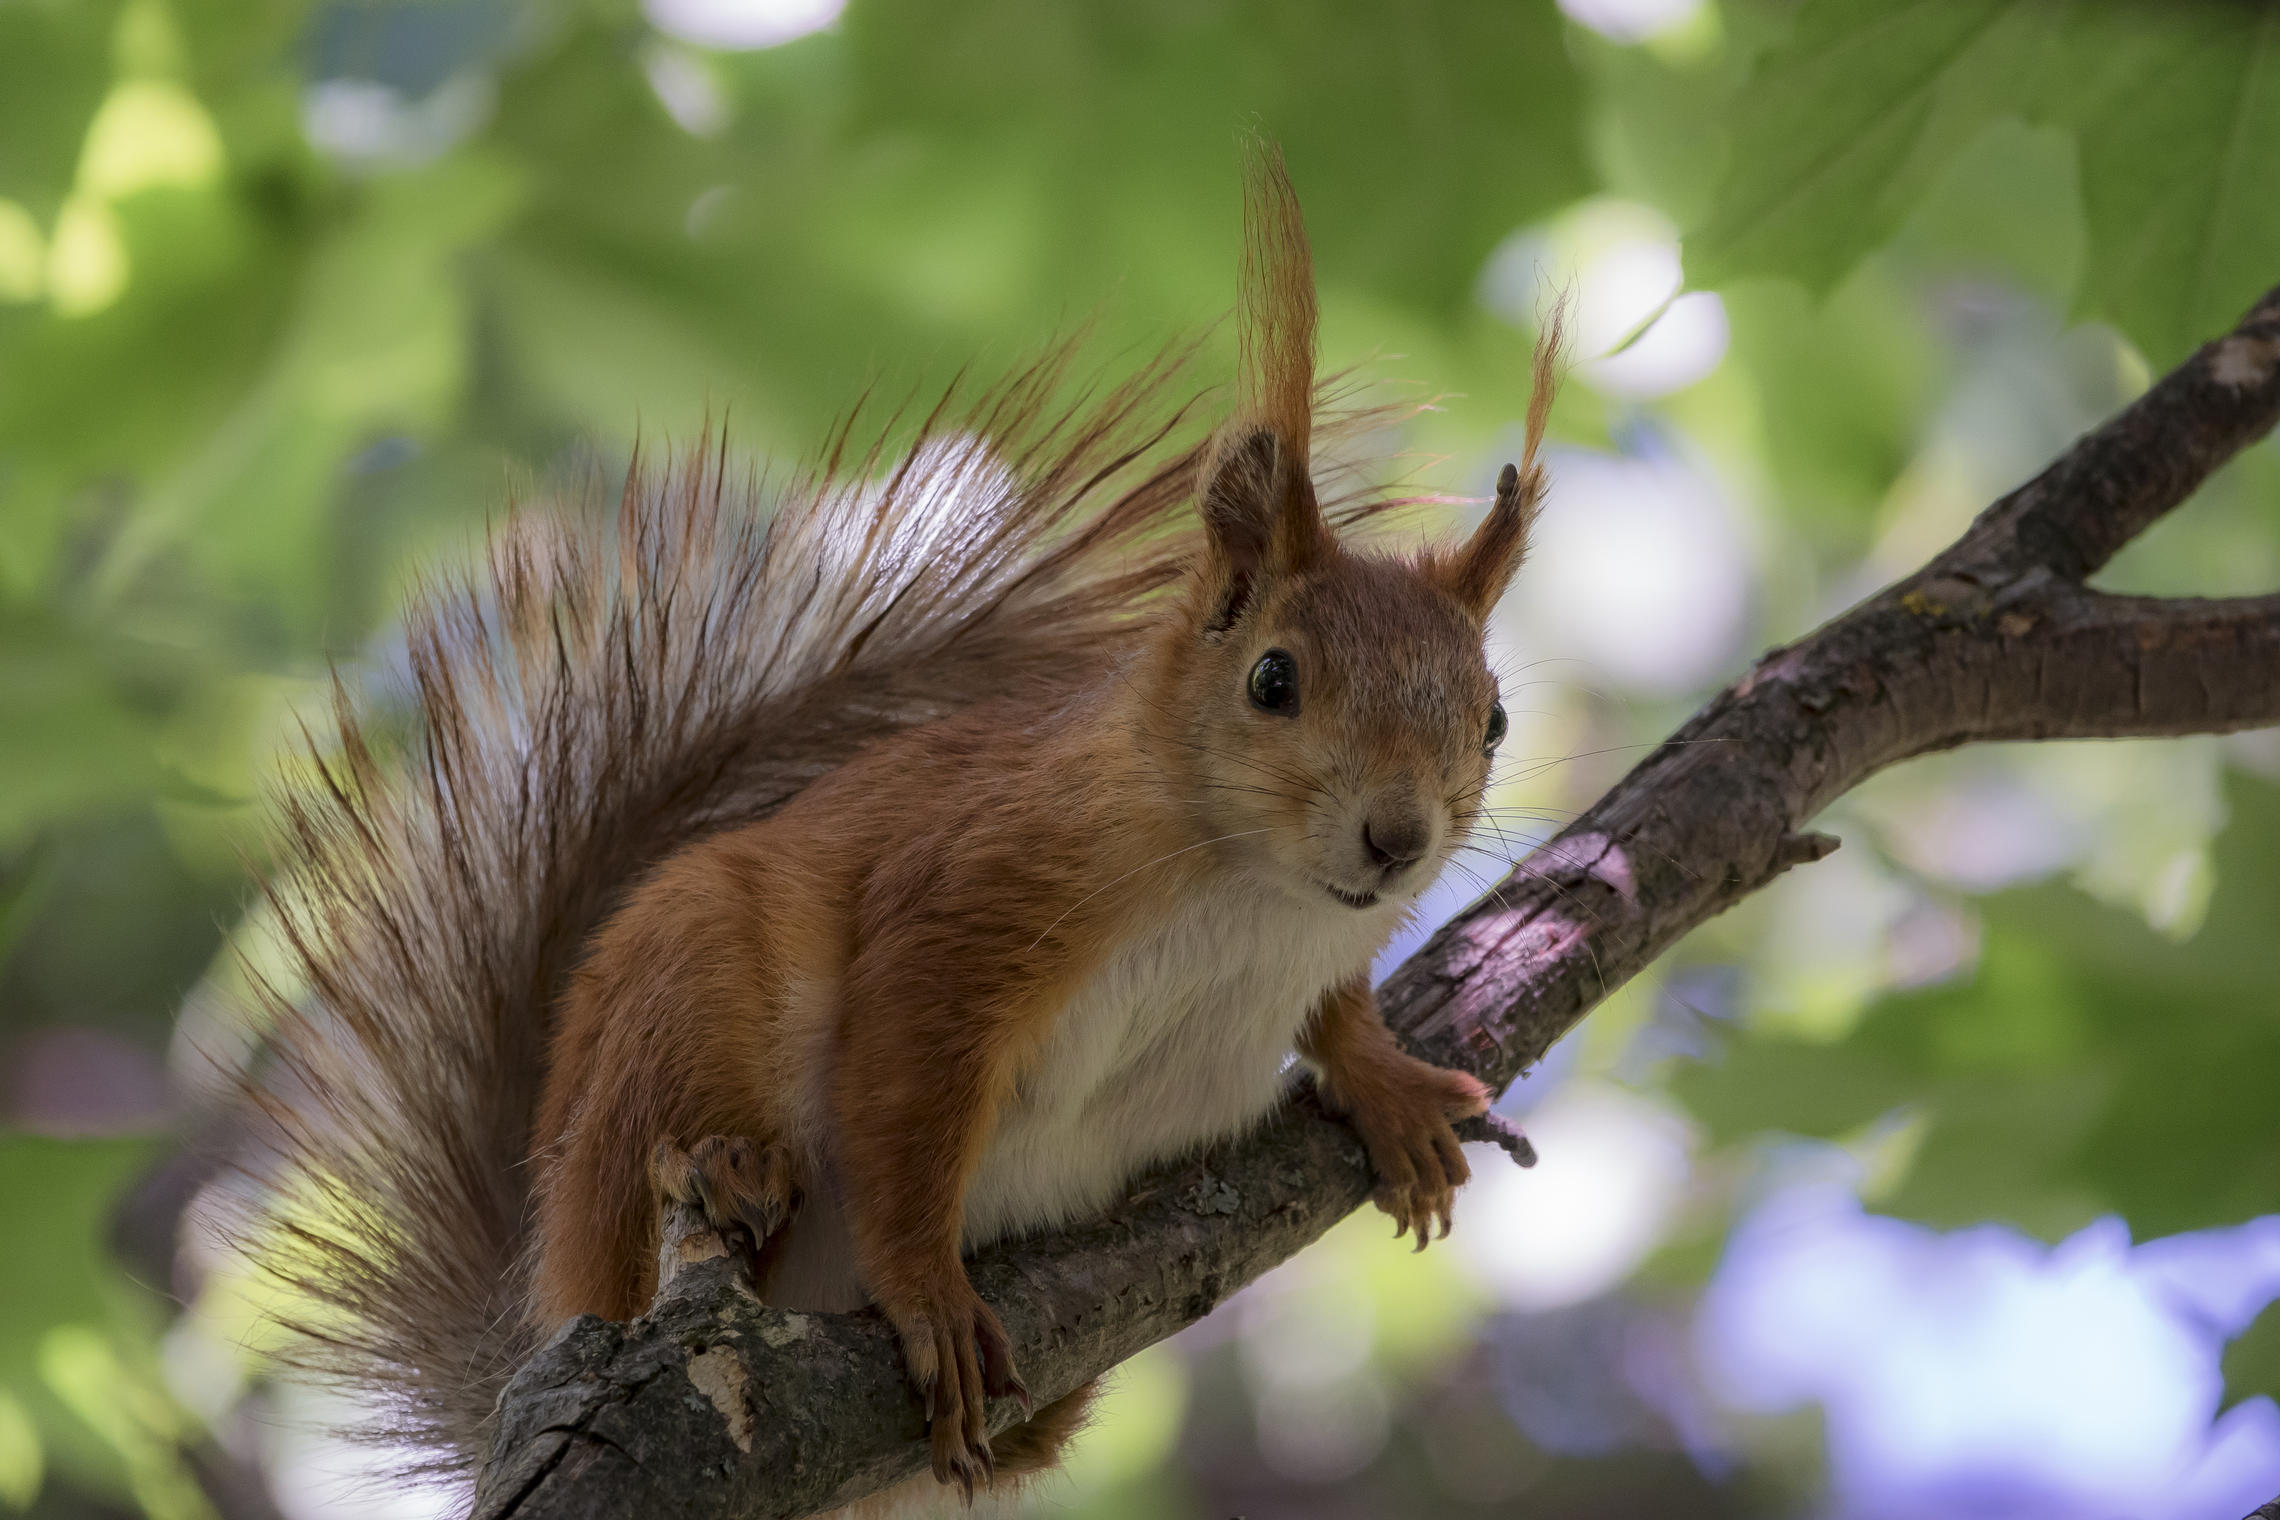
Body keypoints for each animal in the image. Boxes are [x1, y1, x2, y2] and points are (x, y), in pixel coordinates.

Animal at [249, 145, 1568, 1513]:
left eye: (1494, 717)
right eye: (1272, 679)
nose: (1397, 838)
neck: (1248, 894)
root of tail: (548, 1292)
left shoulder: (1318, 946)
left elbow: (1341, 1011)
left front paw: (1390, 1086)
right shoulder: (966, 905)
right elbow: (902, 1111)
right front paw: (929, 1290)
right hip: (688, 1000)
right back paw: (736, 1179)